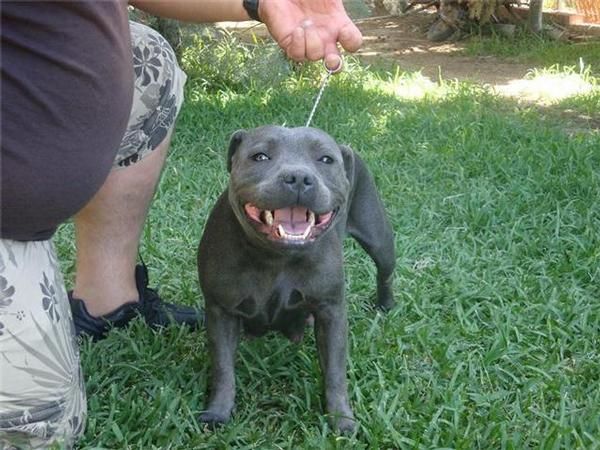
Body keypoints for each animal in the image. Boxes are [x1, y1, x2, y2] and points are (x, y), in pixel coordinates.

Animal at [196, 124, 394, 432]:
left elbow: (335, 373)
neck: (276, 257)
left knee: (385, 273)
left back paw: (385, 305)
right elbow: (223, 368)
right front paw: (218, 412)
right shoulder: (221, 311)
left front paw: (341, 419)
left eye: (326, 160)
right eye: (260, 156)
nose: (299, 177)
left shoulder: (331, 311)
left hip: (379, 239)